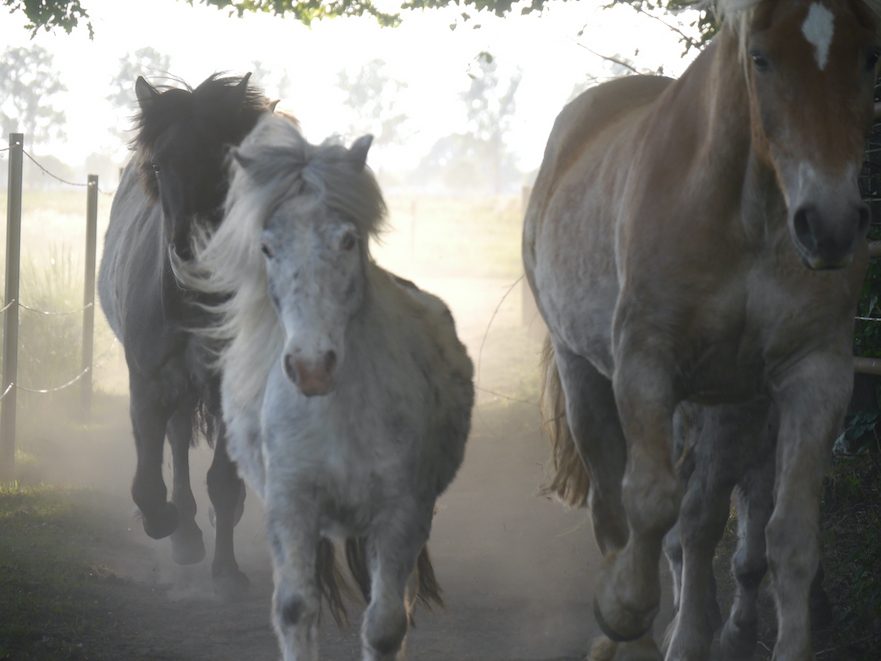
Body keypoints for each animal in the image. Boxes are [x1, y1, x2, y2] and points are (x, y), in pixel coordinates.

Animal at [97, 73, 272, 600]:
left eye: (222, 159)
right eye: (158, 164)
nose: (190, 255)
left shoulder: (232, 383)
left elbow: (224, 482)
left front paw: (228, 571)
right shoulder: (149, 380)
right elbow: (148, 483)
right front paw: (170, 525)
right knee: (175, 440)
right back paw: (187, 532)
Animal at [524, 2, 876, 656]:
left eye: (870, 56)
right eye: (760, 58)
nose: (831, 224)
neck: (748, 215)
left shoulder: (804, 378)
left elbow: (779, 534)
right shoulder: (645, 362)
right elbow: (651, 504)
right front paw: (630, 614)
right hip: (582, 371)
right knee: (611, 509)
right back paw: (628, 635)